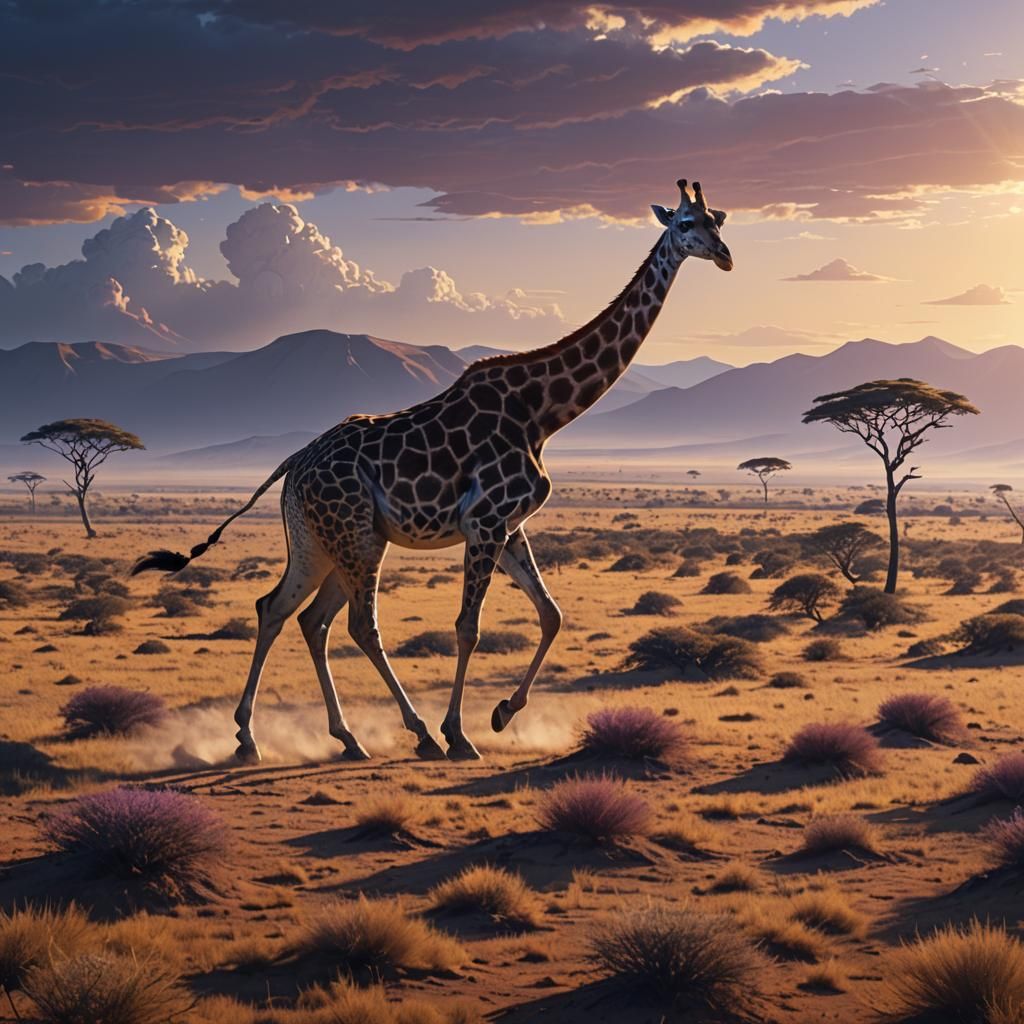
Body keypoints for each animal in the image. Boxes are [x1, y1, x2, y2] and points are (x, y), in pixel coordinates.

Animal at [132, 179, 733, 763]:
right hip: (354, 537)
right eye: (685, 223)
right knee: (354, 623)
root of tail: (293, 465)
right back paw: (411, 732)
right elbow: (468, 628)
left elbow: (552, 614)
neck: (543, 412)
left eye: (717, 219)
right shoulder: (486, 522)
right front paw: (460, 733)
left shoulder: (509, 526)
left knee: (288, 612)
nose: (725, 256)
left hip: (323, 541)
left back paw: (282, 737)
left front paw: (502, 713)